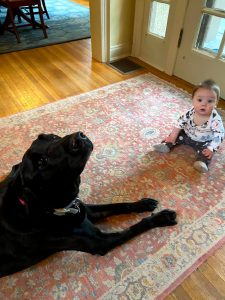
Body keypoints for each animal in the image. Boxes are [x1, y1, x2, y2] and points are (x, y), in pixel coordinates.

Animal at [0, 132, 177, 278]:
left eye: (53, 137)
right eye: (41, 162)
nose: (78, 137)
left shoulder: (86, 211)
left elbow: (120, 205)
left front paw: (143, 203)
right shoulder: (100, 242)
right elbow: (134, 227)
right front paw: (162, 218)